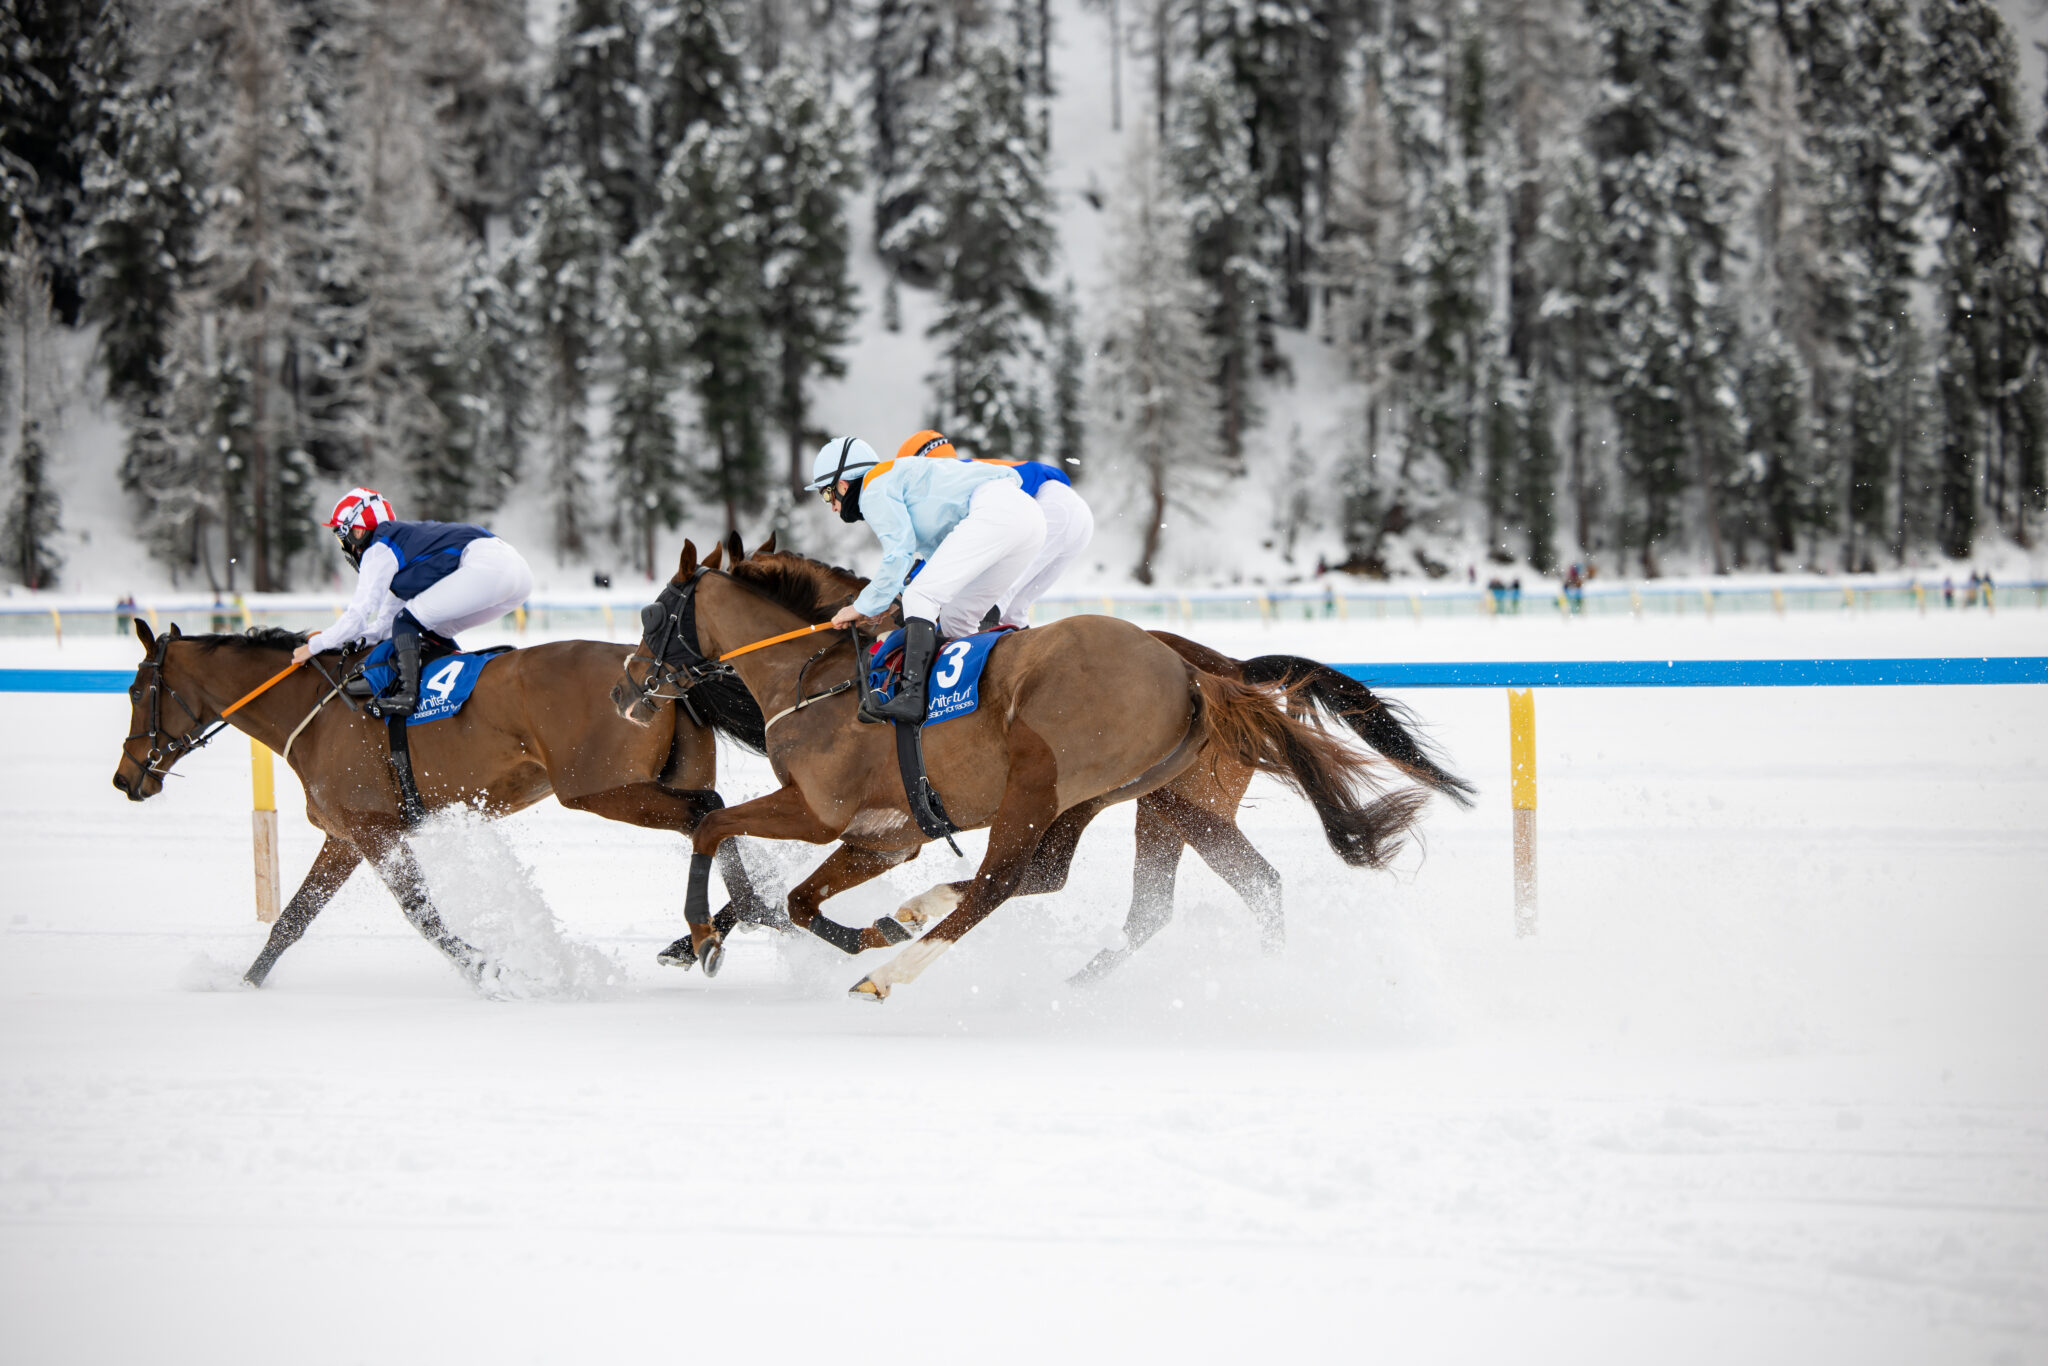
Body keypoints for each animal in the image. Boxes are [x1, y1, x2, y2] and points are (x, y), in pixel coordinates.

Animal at [116, 614, 778, 987]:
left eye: (136, 691)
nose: (126, 779)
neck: (318, 709)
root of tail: (659, 677)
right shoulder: (346, 836)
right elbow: (291, 920)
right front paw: (245, 983)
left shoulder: (375, 830)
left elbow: (422, 914)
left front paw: (489, 969)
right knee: (710, 815)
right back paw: (728, 923)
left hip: (599, 790)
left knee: (705, 810)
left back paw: (723, 926)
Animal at [614, 540, 1433, 999]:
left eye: (654, 614)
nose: (625, 688)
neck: (814, 676)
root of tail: (1202, 674)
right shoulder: (884, 835)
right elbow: (799, 899)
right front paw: (869, 926)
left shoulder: (819, 812)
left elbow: (715, 829)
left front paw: (704, 934)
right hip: (1126, 799)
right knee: (1094, 882)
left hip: (1049, 781)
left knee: (1002, 882)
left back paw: (890, 973)